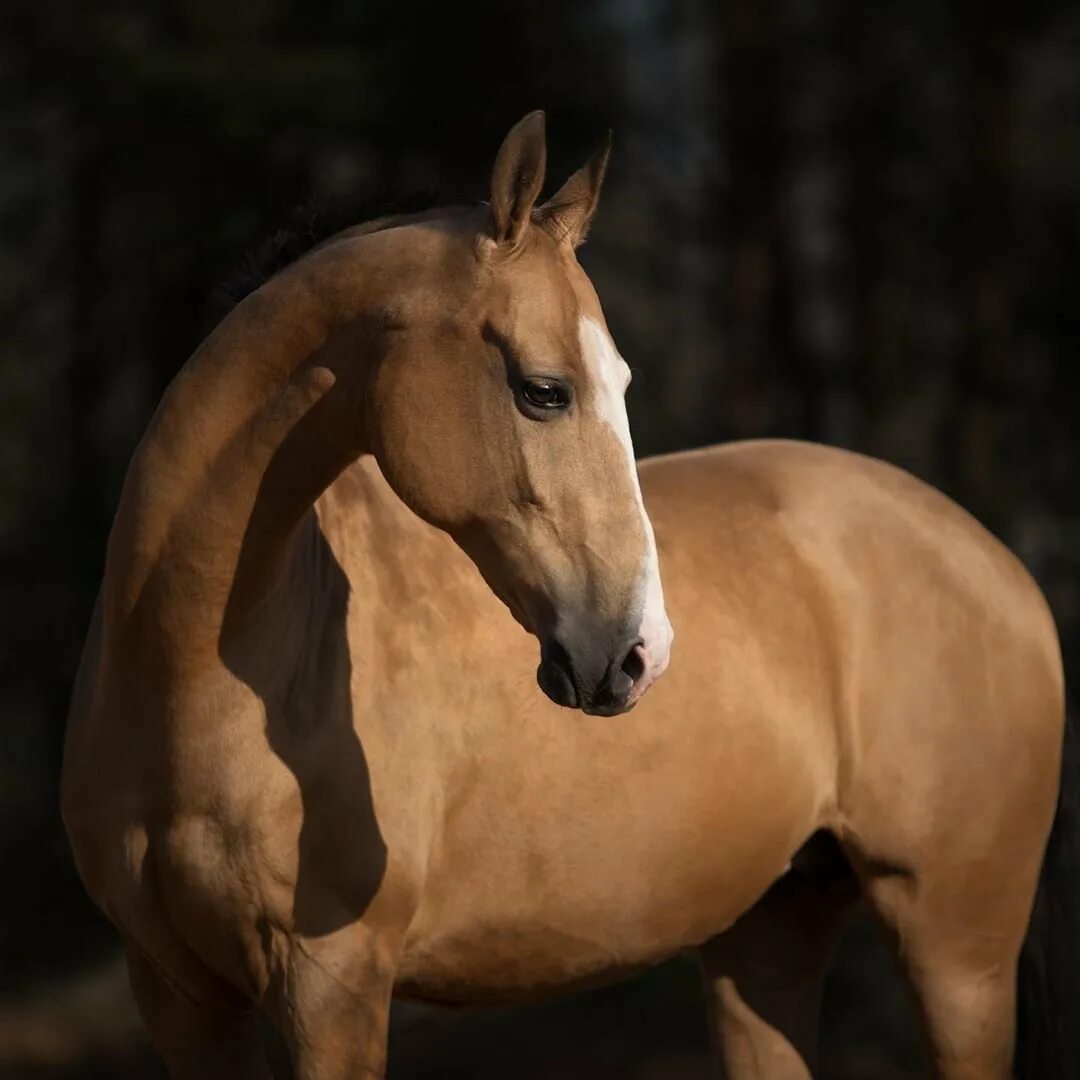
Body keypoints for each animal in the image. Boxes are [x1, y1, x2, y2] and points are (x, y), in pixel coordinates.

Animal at [63, 113, 1075, 1075]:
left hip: (957, 956)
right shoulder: (182, 1001)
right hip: (768, 936)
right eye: (545, 390)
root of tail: (995, 558)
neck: (197, 671)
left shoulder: (332, 992)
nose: (638, 654)